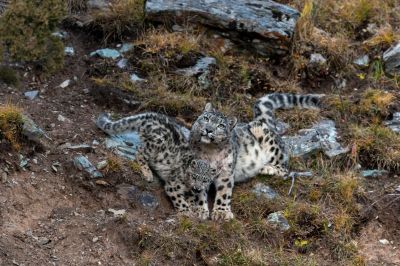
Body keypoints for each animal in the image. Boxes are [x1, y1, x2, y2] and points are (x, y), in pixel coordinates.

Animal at [189, 92, 324, 219]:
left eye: (221, 126)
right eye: (206, 118)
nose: (208, 129)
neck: (210, 151)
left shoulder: (226, 172)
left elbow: (224, 192)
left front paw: (221, 213)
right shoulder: (197, 168)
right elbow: (198, 192)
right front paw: (199, 211)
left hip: (263, 134)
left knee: (285, 168)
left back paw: (267, 168)